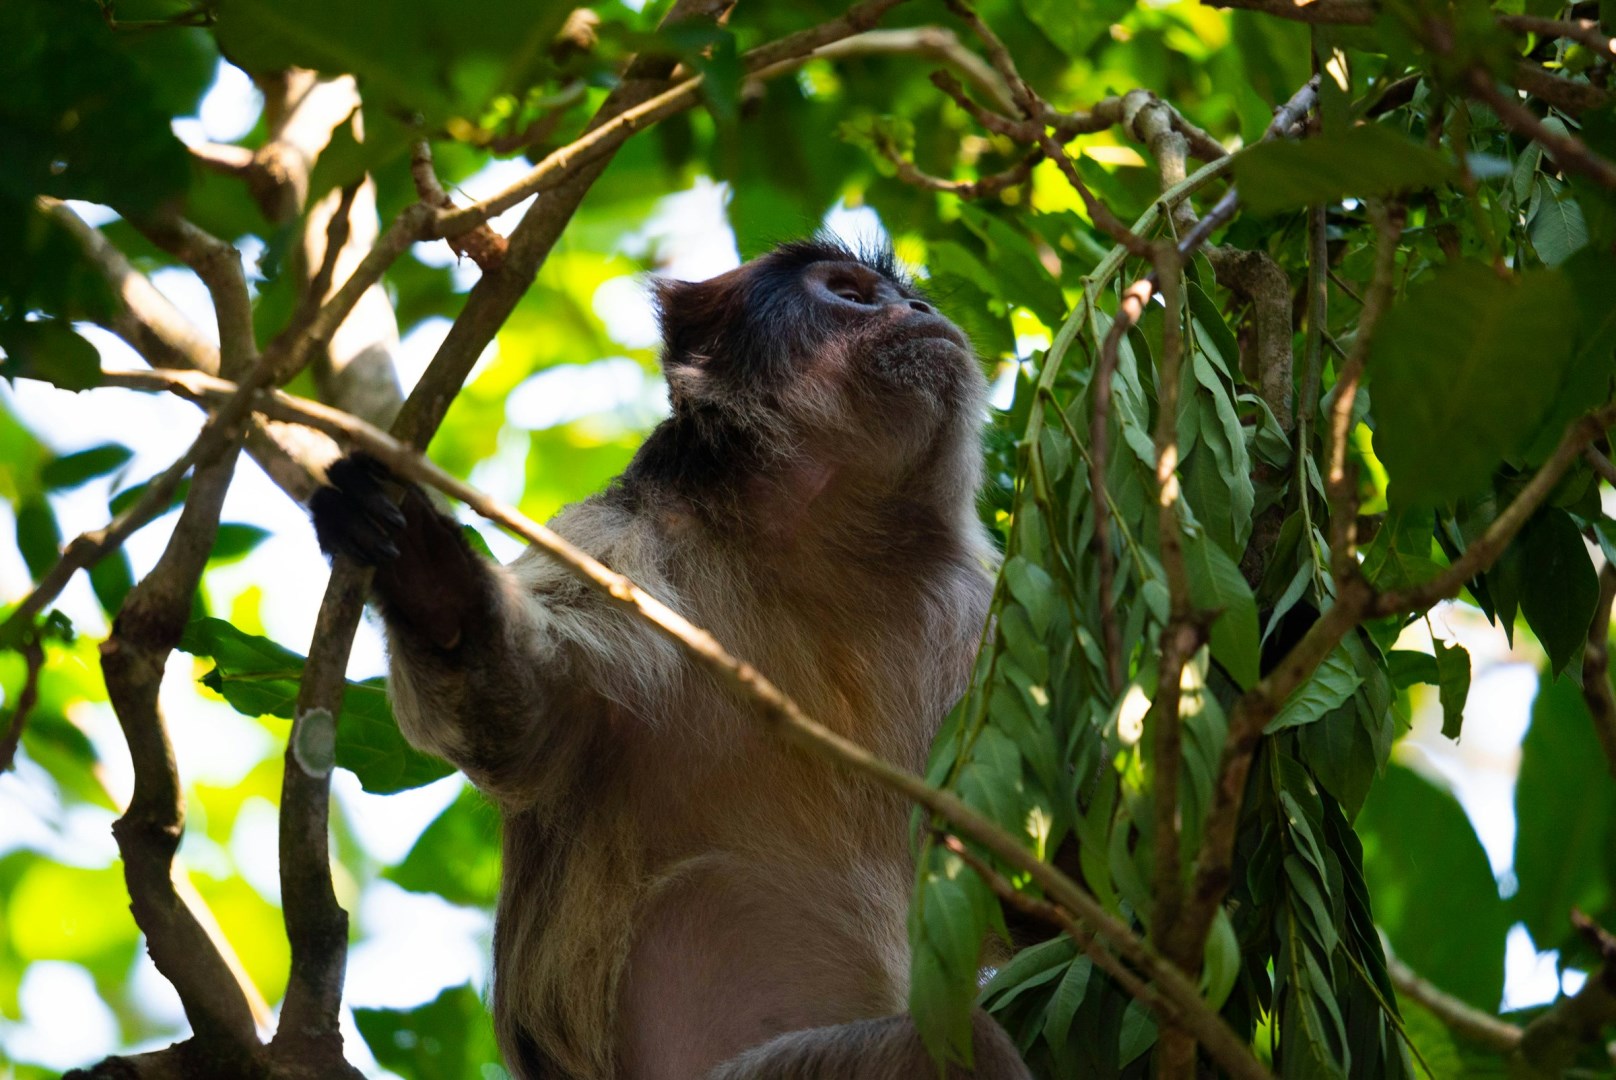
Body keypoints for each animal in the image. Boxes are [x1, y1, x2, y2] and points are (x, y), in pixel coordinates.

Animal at [311, 239, 1031, 1079]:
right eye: (852, 296)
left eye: (906, 300)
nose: (915, 309)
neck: (829, 550)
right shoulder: (622, 534)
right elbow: (525, 729)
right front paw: (434, 591)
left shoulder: (973, 611)